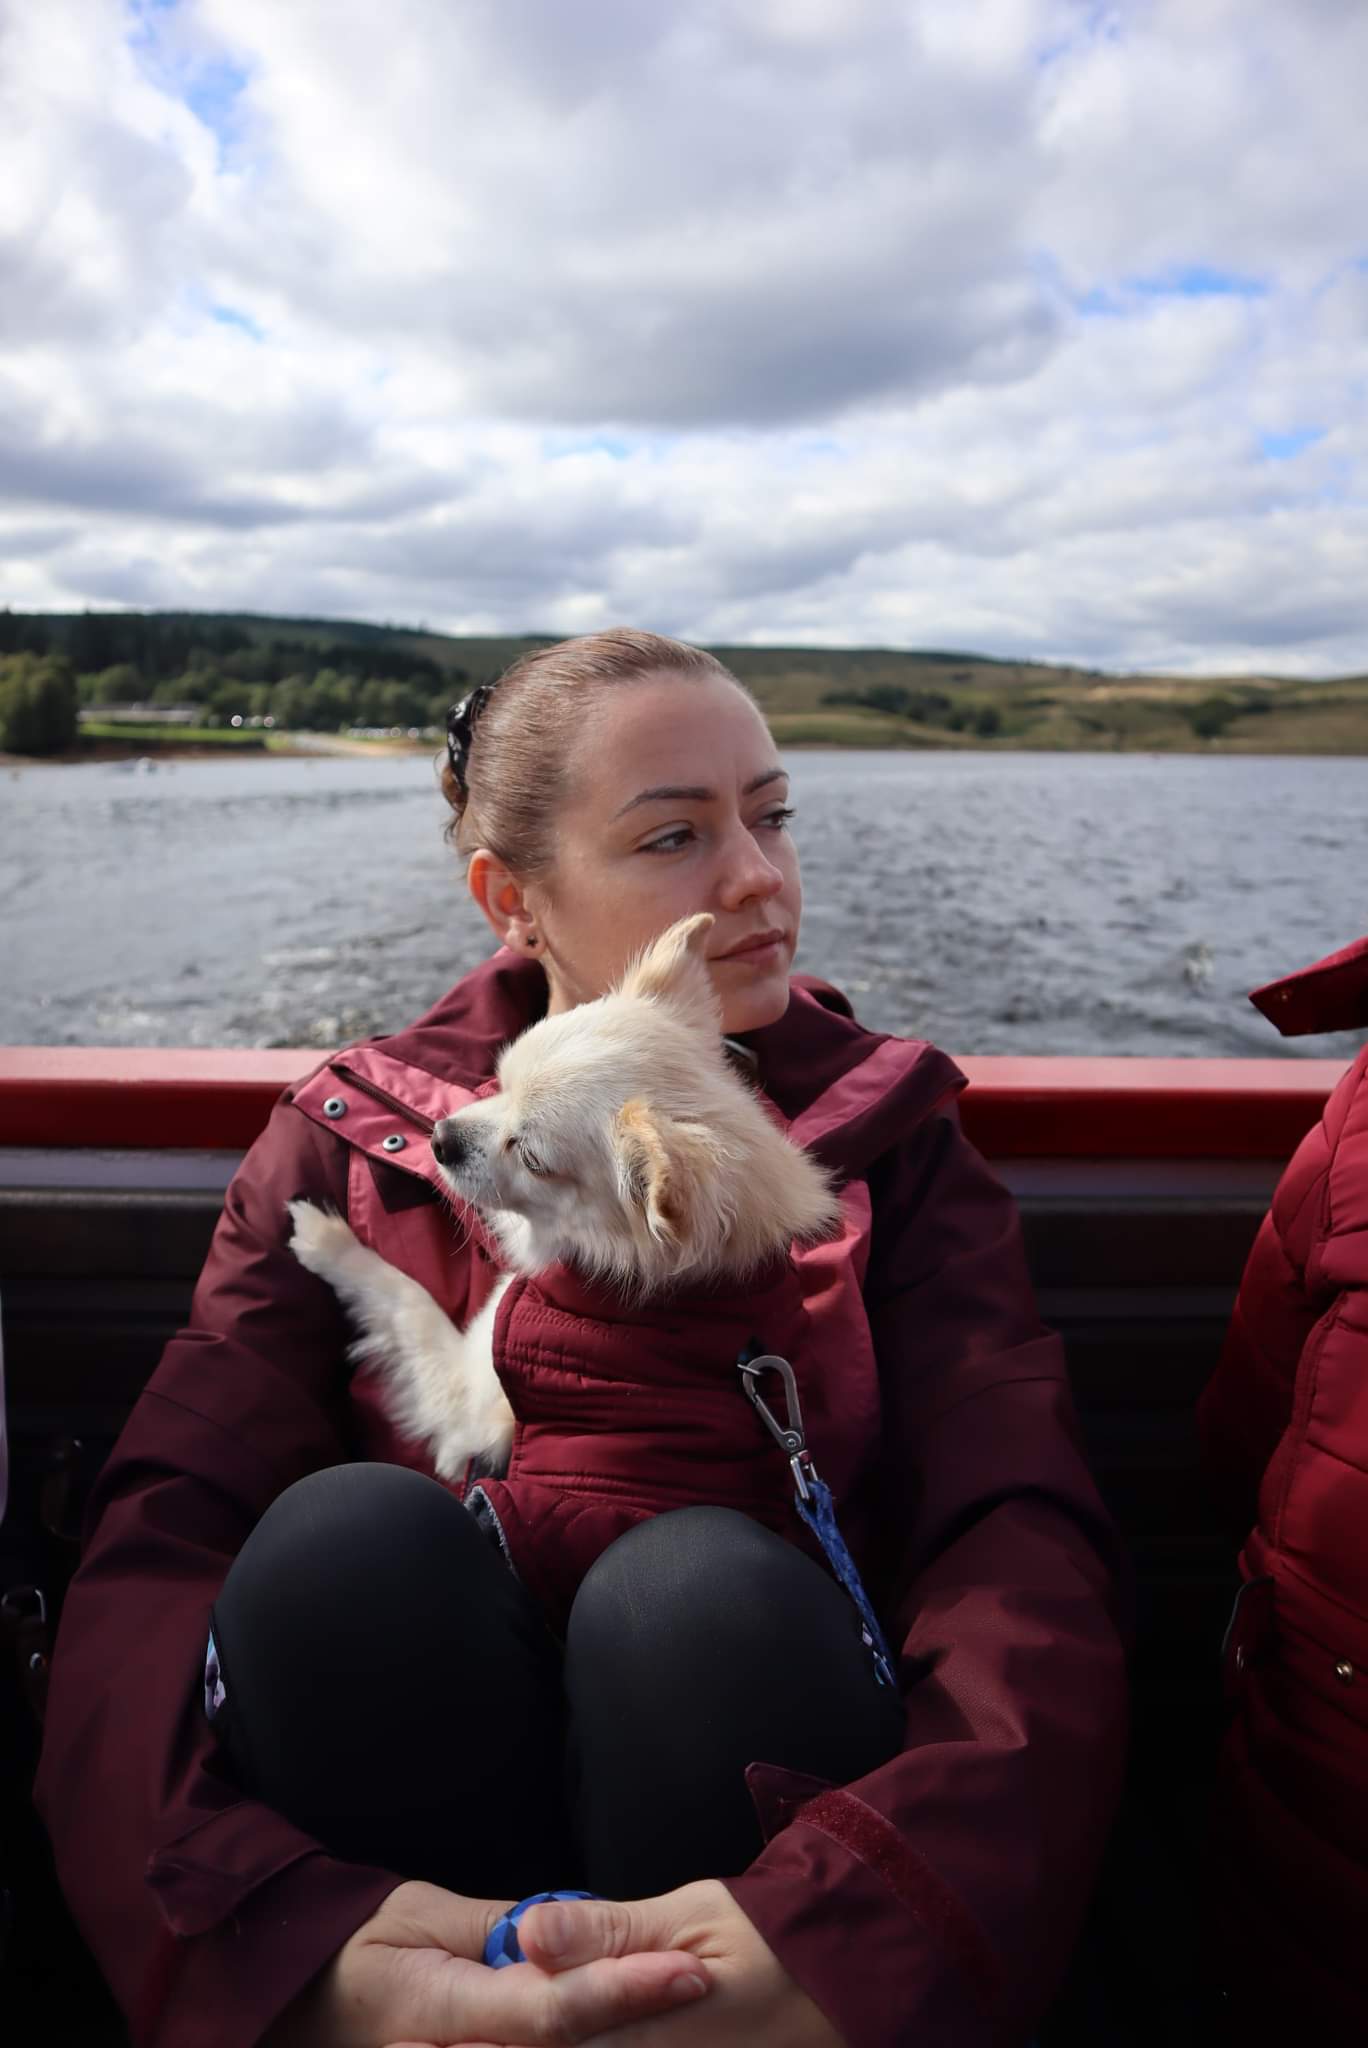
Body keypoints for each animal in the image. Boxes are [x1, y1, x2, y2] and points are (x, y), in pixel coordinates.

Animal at [290, 921, 835, 1482]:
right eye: (499, 1085)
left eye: (531, 1158)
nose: (440, 1139)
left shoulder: (465, 1397)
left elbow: (406, 1298)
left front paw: (325, 1240)